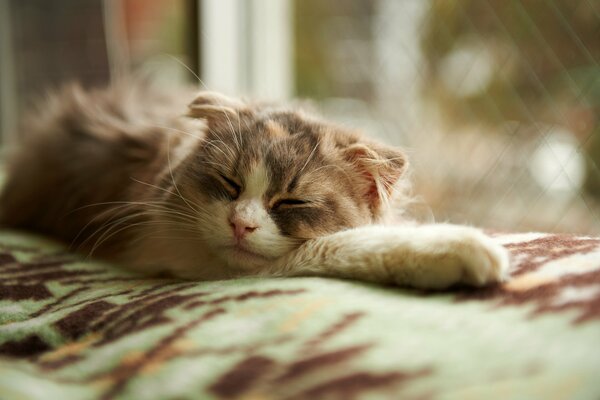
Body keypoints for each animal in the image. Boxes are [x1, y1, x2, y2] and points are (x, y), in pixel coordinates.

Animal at [0, 82, 510, 288]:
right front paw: (462, 250)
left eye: (292, 200)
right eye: (229, 184)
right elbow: (342, 245)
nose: (240, 225)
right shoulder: (176, 254)